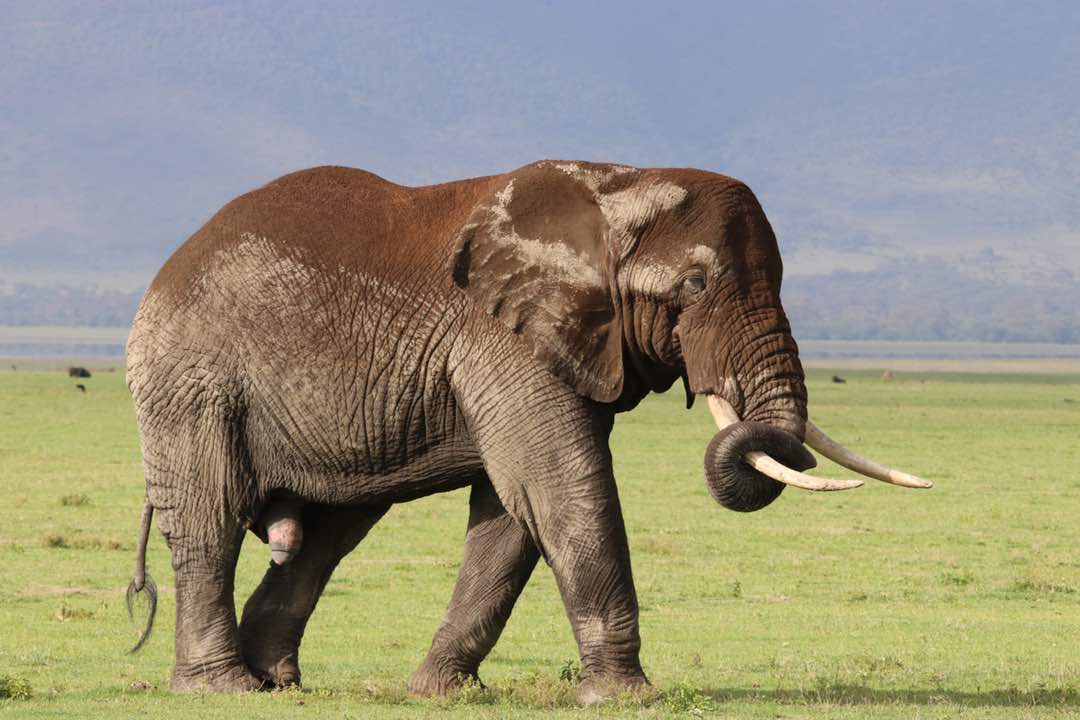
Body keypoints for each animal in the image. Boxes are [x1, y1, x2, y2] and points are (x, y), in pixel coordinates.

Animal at [123, 160, 930, 702]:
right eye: (696, 286)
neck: (615, 184)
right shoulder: (501, 338)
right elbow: (558, 483)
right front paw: (629, 699)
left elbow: (513, 514)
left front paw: (440, 694)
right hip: (189, 386)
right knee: (211, 519)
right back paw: (222, 689)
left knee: (327, 533)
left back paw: (278, 685)